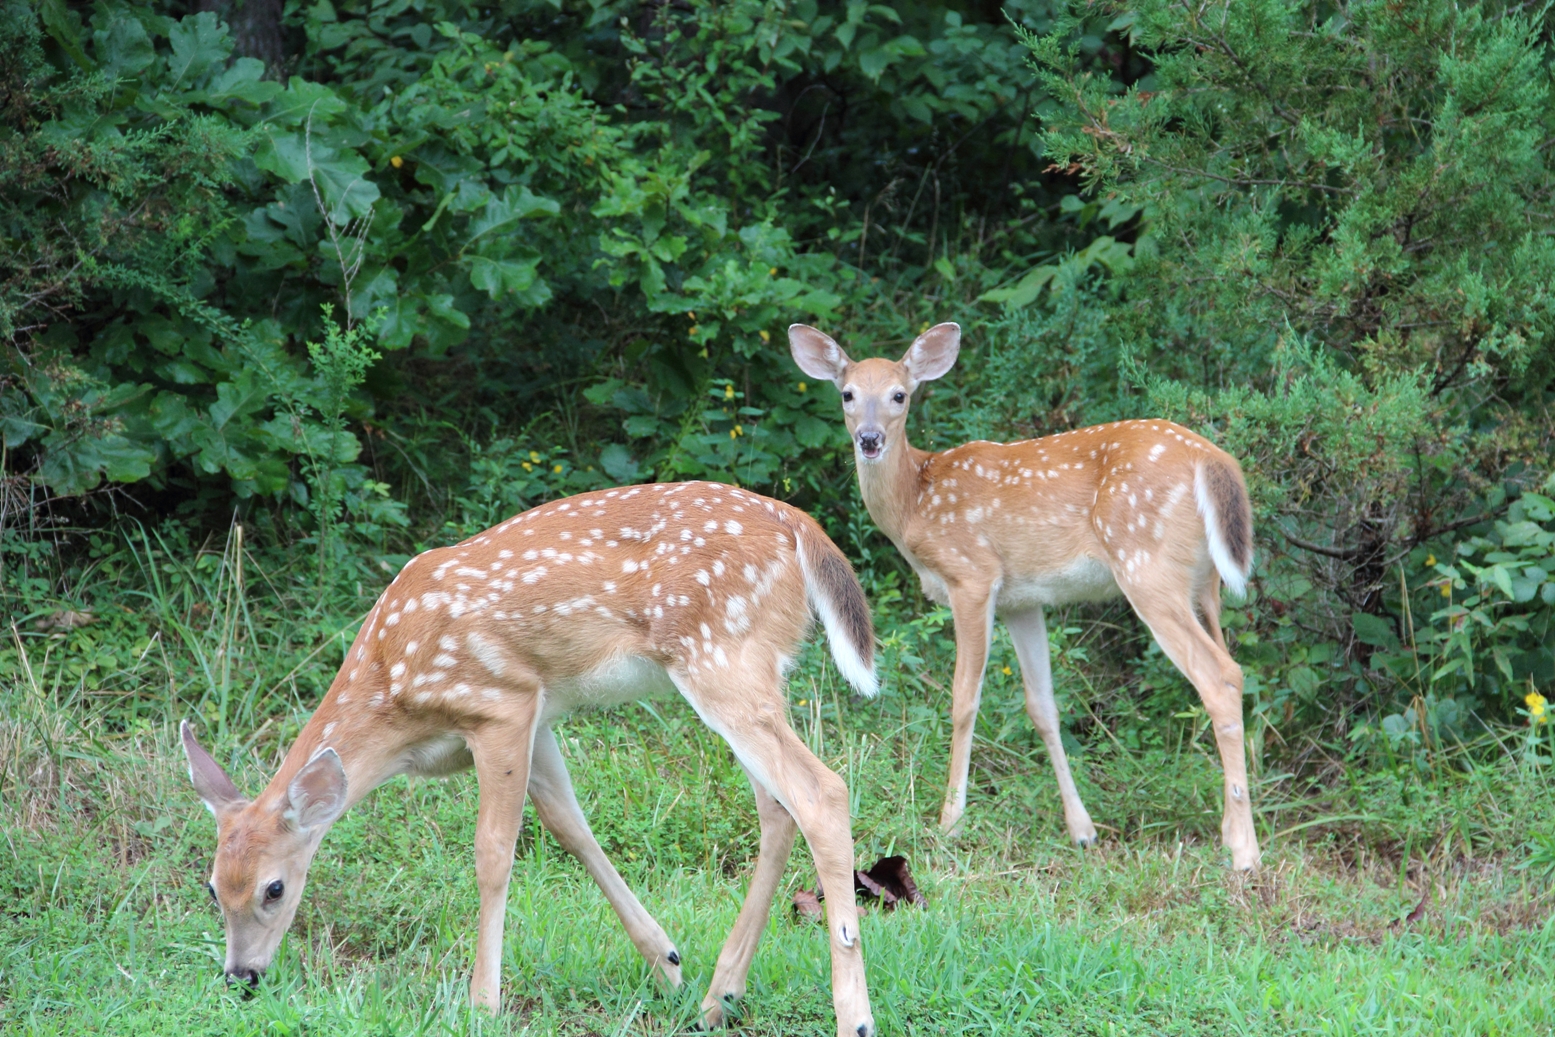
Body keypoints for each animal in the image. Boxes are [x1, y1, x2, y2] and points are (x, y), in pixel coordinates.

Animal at [180, 481, 880, 1037]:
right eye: (213, 887)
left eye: (274, 888)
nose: (240, 977)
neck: (394, 691)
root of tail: (800, 526)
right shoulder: (538, 716)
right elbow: (571, 827)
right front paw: (667, 962)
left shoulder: (500, 703)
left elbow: (493, 854)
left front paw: (481, 1002)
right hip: (752, 670)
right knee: (777, 808)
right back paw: (719, 997)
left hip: (720, 656)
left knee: (820, 791)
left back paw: (854, 1017)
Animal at [789, 322, 1260, 871]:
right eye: (846, 394)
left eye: (899, 395)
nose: (869, 439)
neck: (915, 502)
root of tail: (1214, 459)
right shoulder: (1023, 600)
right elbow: (1043, 706)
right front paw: (1082, 830)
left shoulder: (972, 575)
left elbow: (963, 699)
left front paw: (950, 821)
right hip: (1205, 584)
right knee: (1230, 669)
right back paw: (1231, 829)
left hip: (1146, 563)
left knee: (1220, 677)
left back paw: (1244, 852)